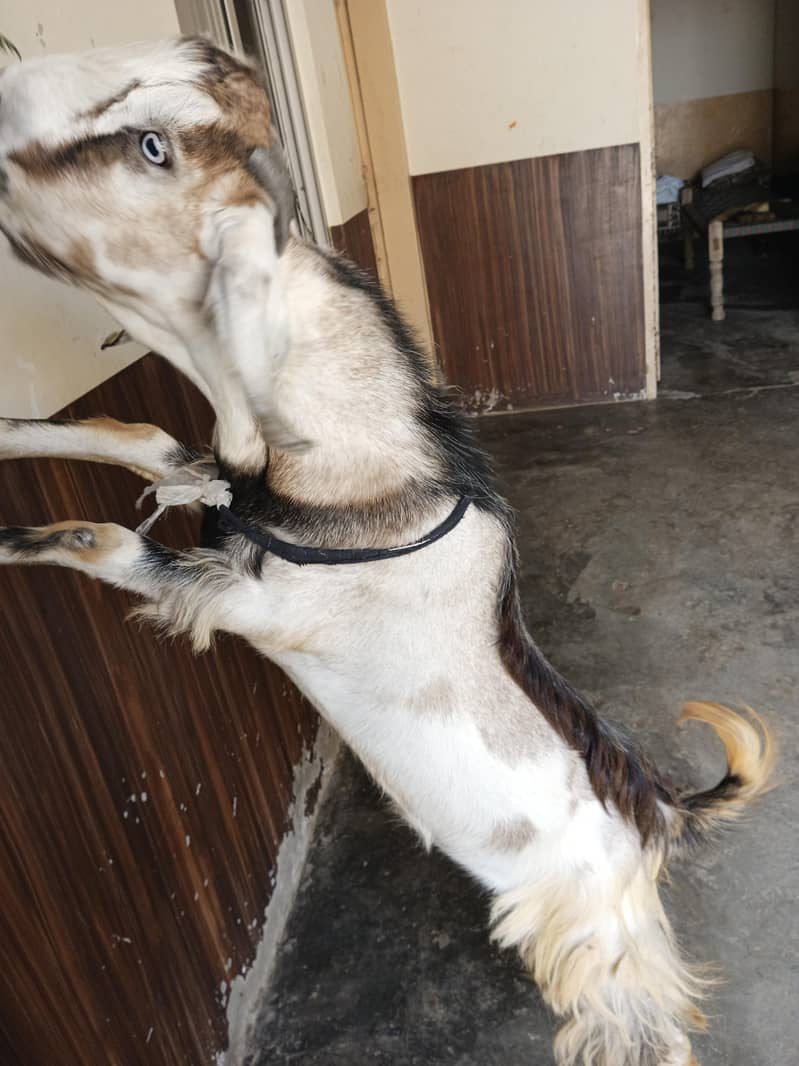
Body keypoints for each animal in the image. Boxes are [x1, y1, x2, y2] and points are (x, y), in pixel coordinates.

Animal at [0, 38, 774, 1066]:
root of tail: (656, 812)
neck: (364, 480)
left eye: (151, 147)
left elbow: (111, 538)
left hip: (601, 954)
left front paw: (15, 542)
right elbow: (128, 434)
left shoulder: (249, 603)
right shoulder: (210, 476)